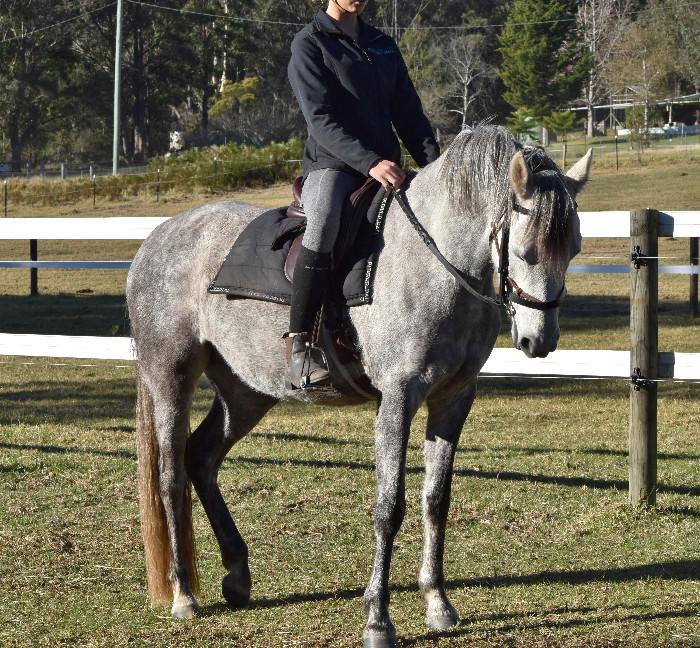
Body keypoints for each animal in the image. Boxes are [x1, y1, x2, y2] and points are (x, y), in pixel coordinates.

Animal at [126, 124, 591, 648]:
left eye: (573, 250)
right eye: (526, 251)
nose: (540, 341)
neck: (434, 262)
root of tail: (158, 238)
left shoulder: (454, 399)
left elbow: (436, 500)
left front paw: (438, 603)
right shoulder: (398, 398)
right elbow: (389, 507)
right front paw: (378, 620)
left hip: (246, 394)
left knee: (201, 457)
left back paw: (238, 574)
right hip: (171, 376)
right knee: (170, 476)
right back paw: (184, 595)